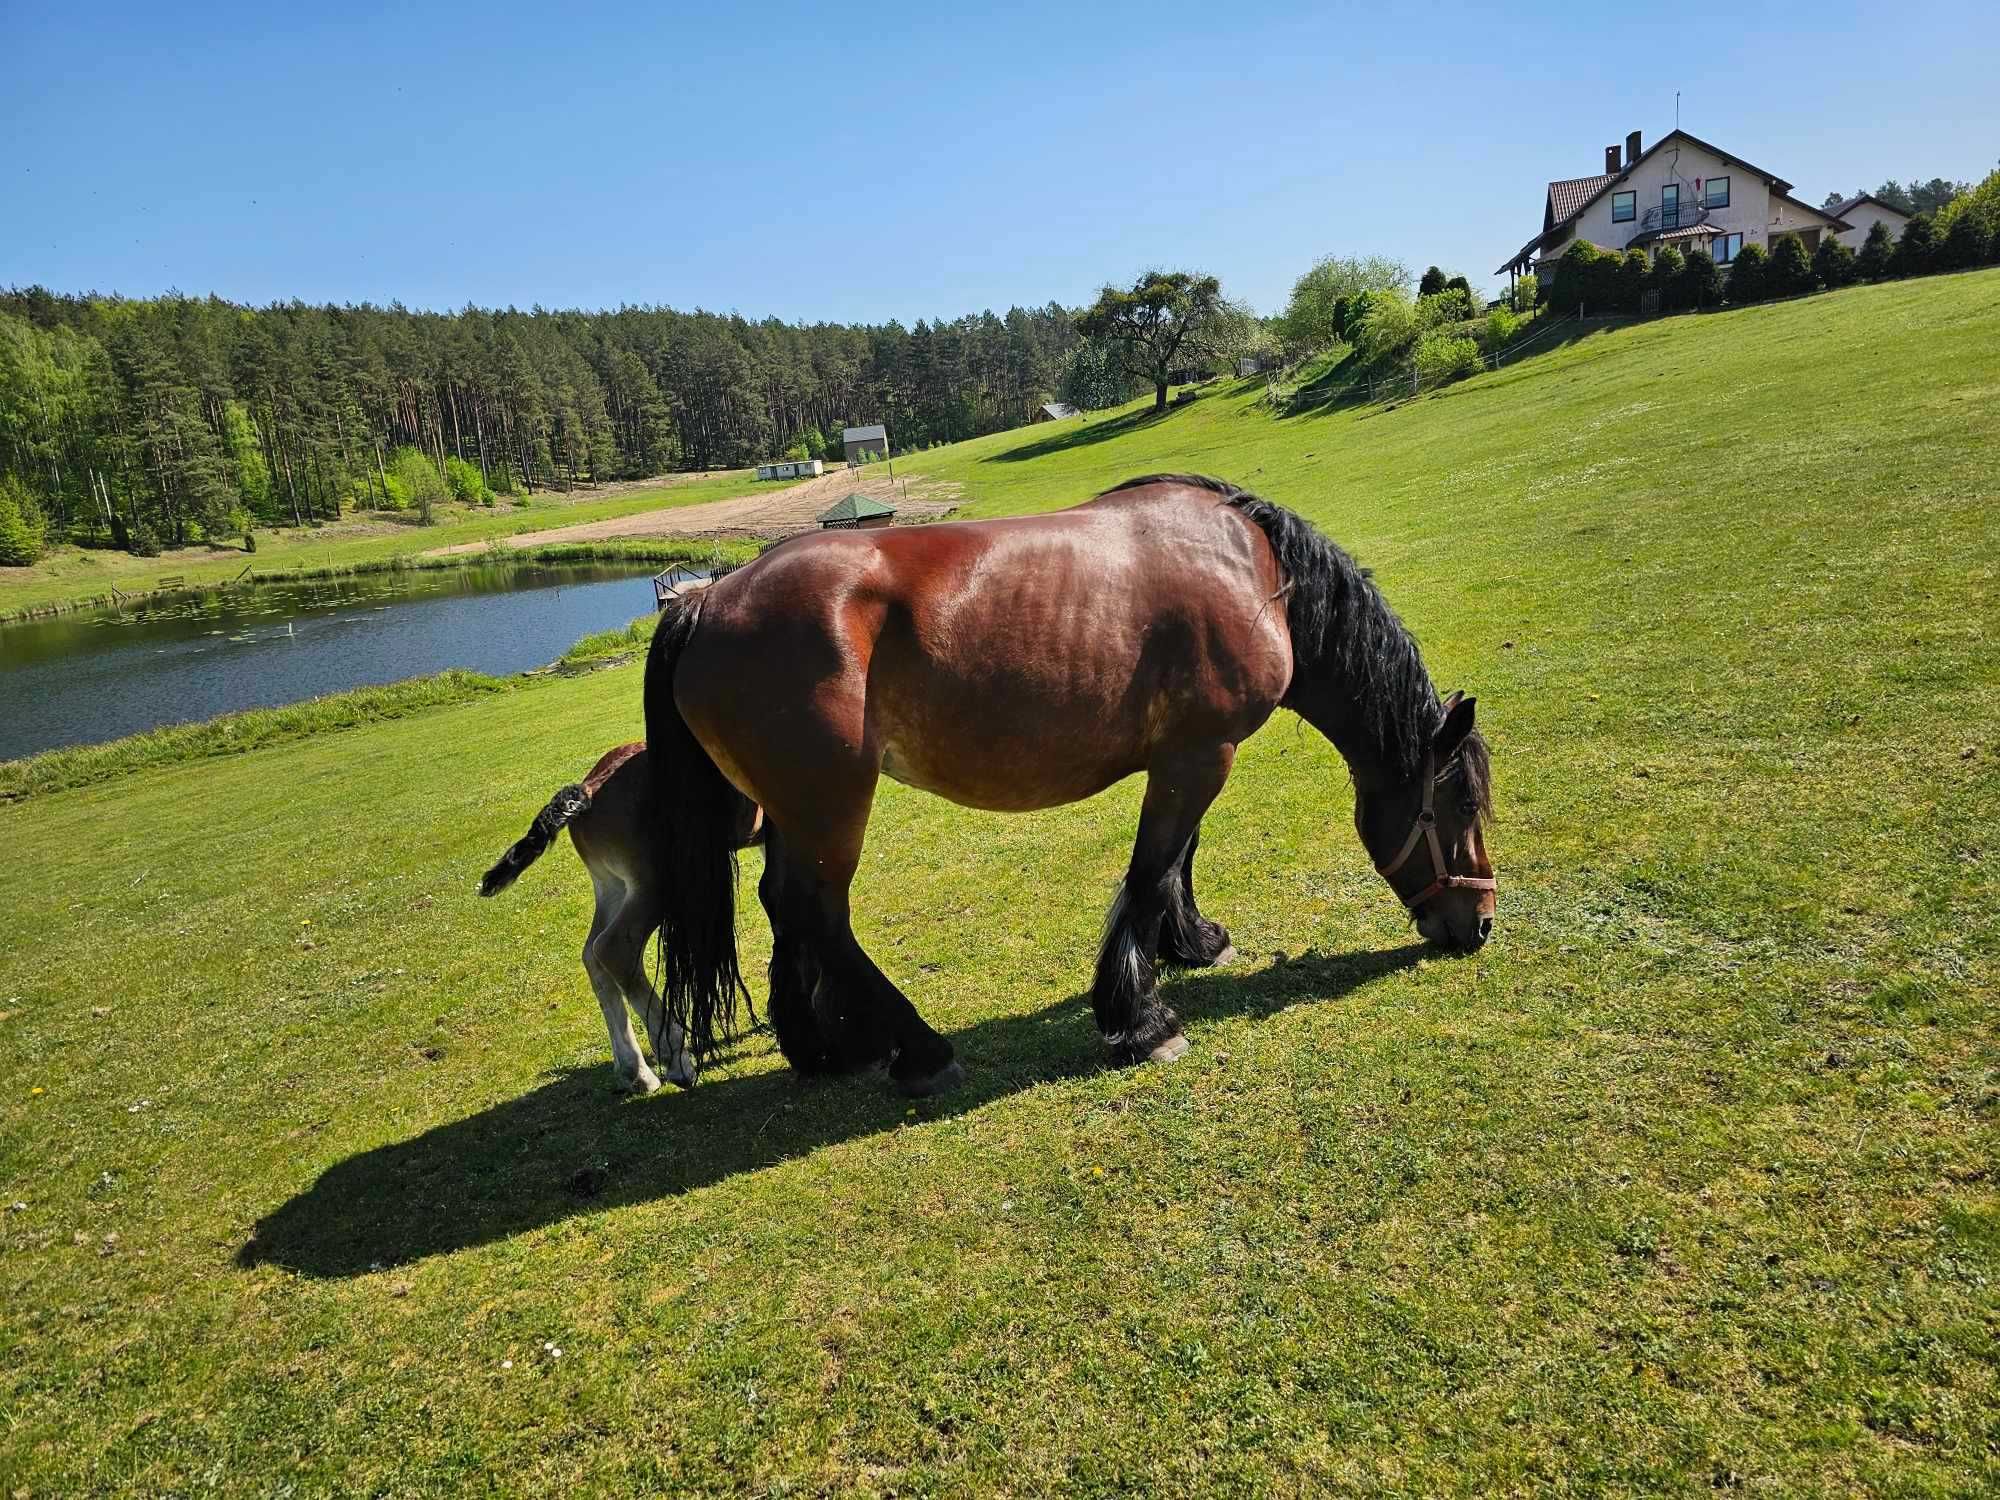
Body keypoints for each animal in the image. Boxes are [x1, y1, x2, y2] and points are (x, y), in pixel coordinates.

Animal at [480, 748, 760, 1096]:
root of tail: (590, 789)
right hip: (656, 888)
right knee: (615, 950)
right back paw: (675, 1060)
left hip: (612, 886)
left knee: (592, 955)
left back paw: (636, 1072)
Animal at [636, 476, 1488, 1096]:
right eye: (1462, 804)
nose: (1478, 925)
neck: (1251, 570)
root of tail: (705, 599)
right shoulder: (1199, 757)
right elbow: (1150, 873)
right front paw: (1139, 1020)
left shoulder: (1190, 757)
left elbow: (1177, 863)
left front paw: (1192, 943)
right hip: (832, 806)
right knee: (819, 912)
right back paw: (920, 1049)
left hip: (792, 813)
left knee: (785, 907)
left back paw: (822, 1048)